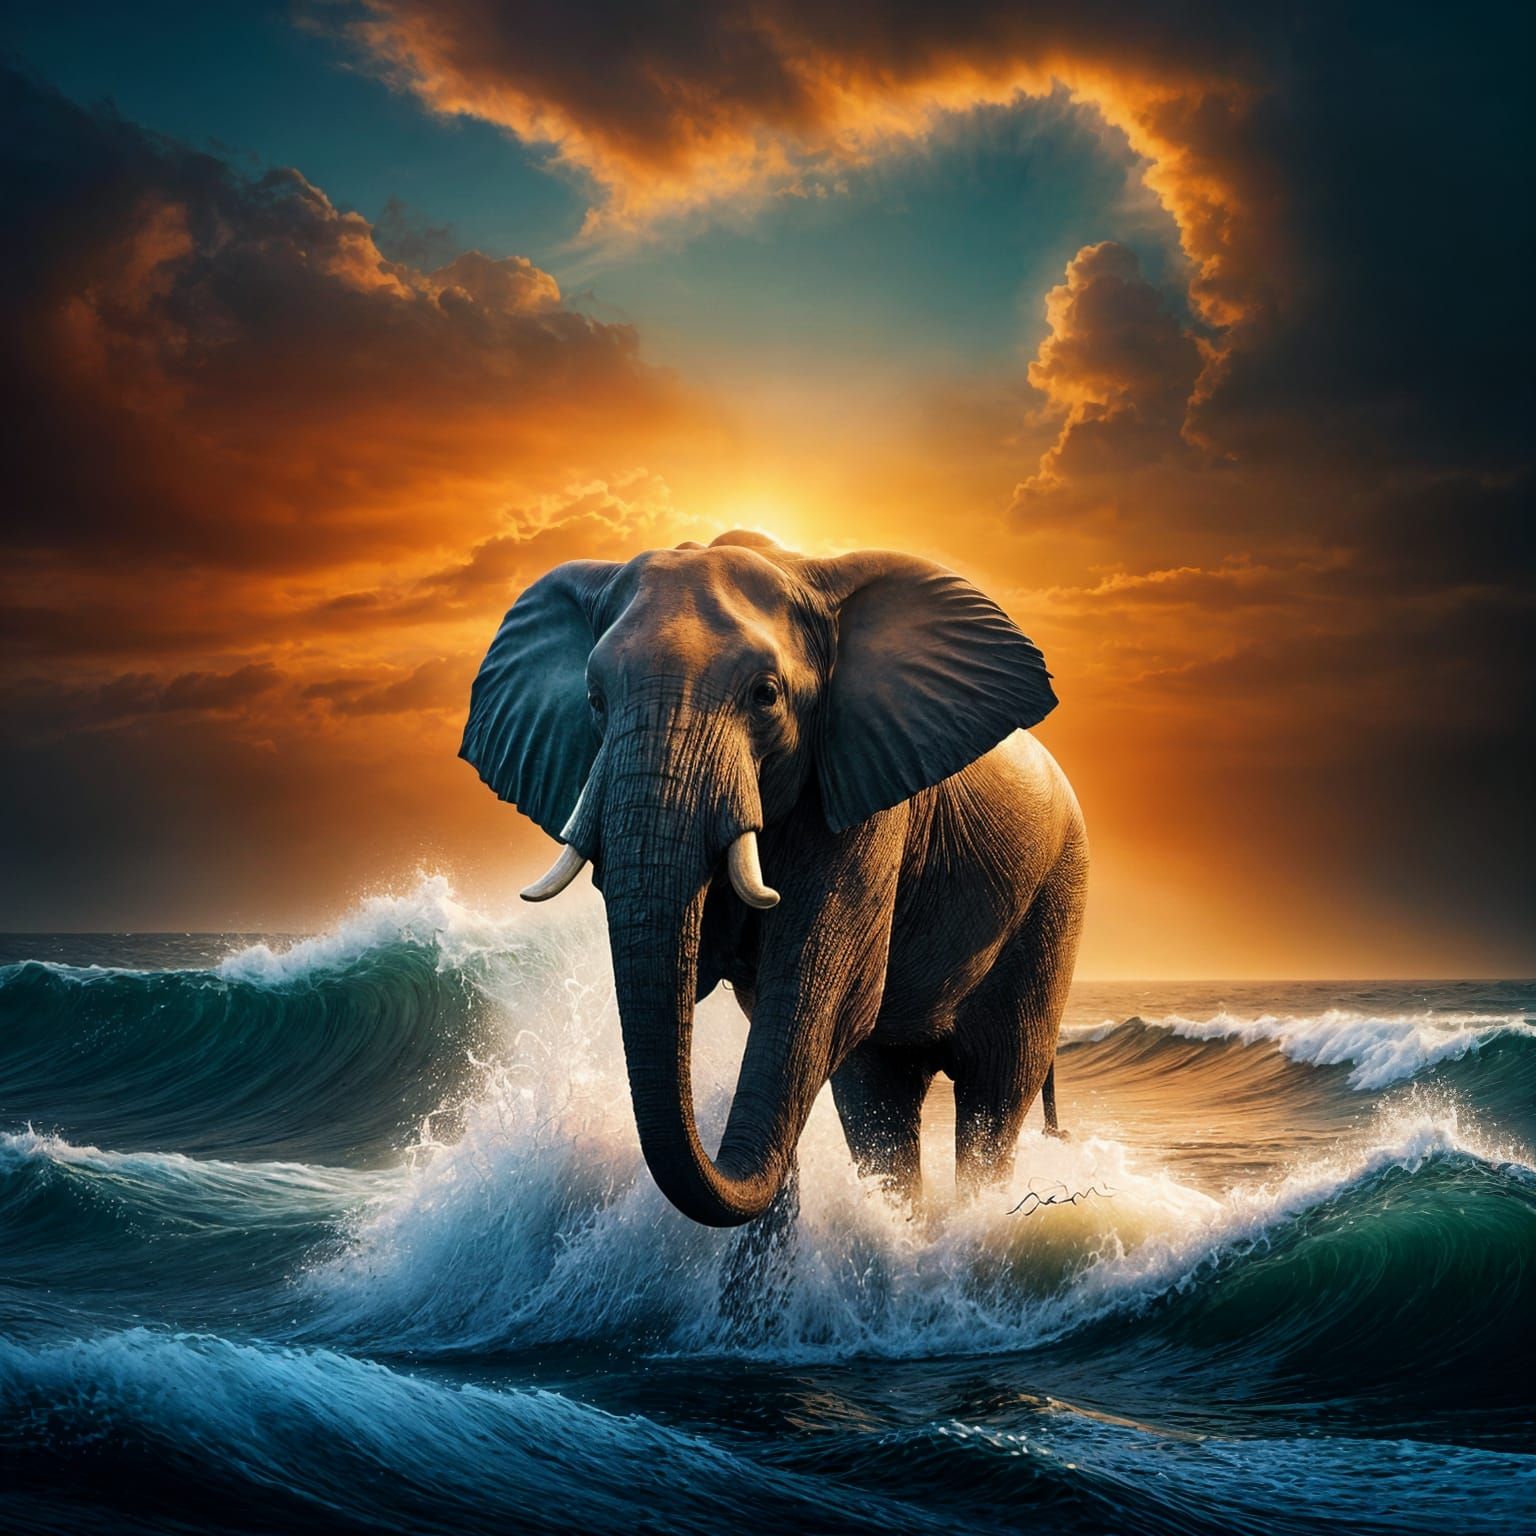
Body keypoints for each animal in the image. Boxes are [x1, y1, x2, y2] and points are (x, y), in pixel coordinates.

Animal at [460, 530, 1087, 1227]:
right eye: (595, 701)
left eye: (765, 695)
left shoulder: (864, 798)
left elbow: (816, 1001)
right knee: (878, 1095)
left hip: (1055, 899)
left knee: (994, 1093)